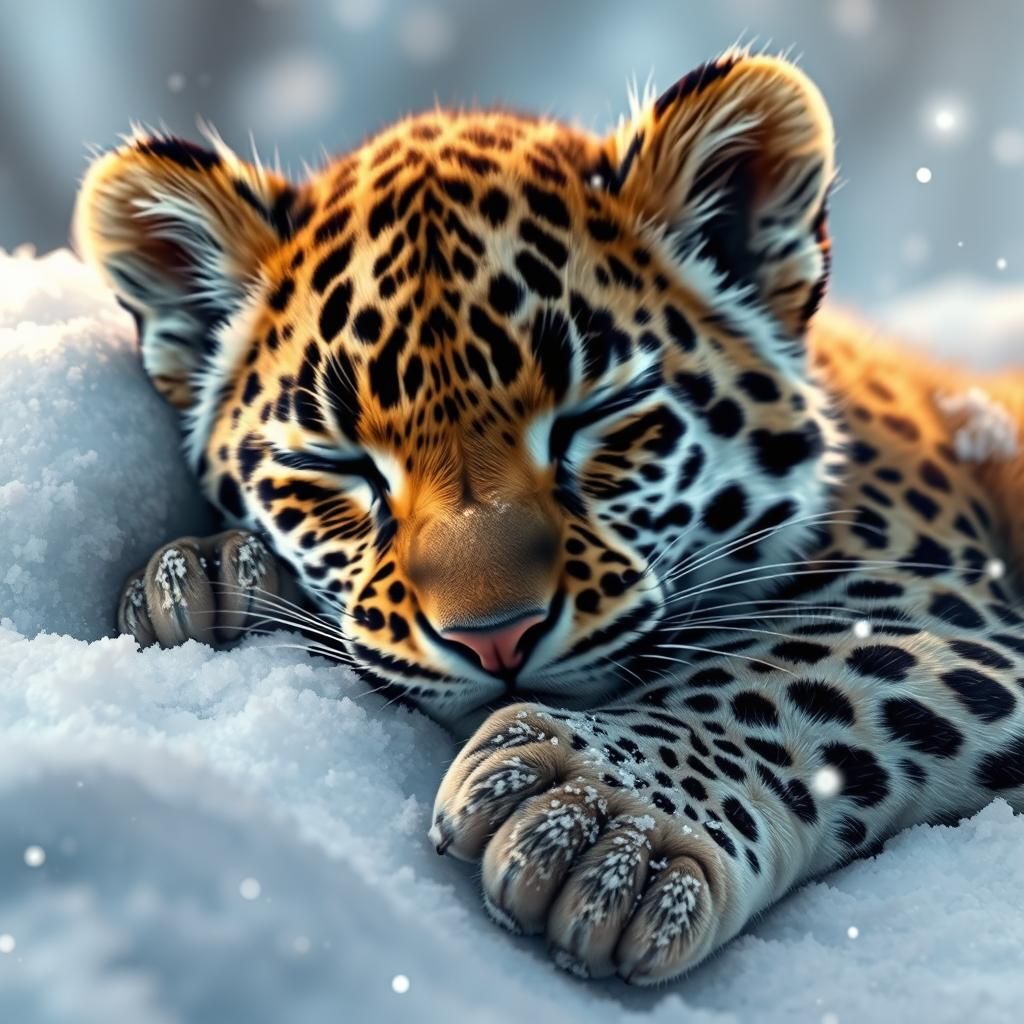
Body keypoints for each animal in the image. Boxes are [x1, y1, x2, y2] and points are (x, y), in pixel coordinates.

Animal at [74, 50, 1024, 985]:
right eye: (338, 466)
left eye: (592, 416)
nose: (496, 639)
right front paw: (207, 581)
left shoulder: (956, 613)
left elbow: (800, 668)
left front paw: (605, 814)